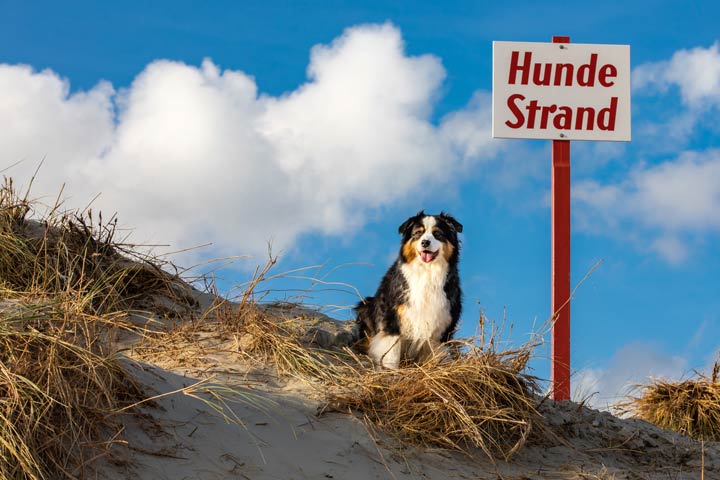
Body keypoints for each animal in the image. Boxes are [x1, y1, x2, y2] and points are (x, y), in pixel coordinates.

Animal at [352, 209, 462, 368]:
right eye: (418, 233)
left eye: (437, 233)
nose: (425, 242)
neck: (426, 272)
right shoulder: (392, 319)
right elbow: (391, 352)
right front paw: (390, 370)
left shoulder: (441, 323)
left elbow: (435, 352)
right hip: (365, 306)